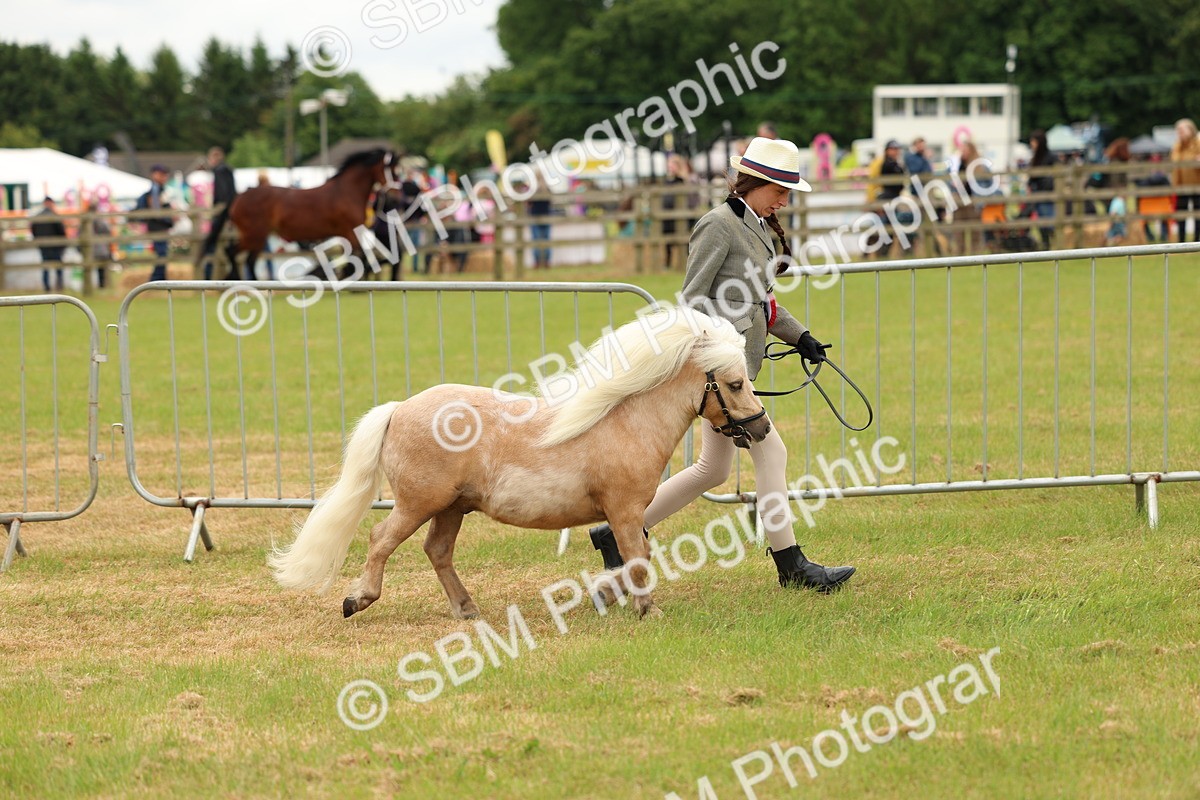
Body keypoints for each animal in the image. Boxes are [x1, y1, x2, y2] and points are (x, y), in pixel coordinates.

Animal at [226, 148, 399, 280]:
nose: (396, 197)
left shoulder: (349, 234)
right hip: (254, 236)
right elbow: (360, 256)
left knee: (245, 259)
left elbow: (359, 256)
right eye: (392, 170)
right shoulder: (350, 232)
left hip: (257, 237)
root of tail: (239, 197)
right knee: (236, 254)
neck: (346, 192)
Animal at [268, 306, 772, 620]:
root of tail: (399, 409)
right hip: (418, 503)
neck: (626, 421)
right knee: (380, 540)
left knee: (437, 551)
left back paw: (467, 609)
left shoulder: (628, 514)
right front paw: (648, 609)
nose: (762, 428)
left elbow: (636, 559)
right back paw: (358, 599)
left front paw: (610, 597)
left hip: (451, 508)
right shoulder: (625, 511)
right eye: (734, 383)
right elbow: (637, 559)